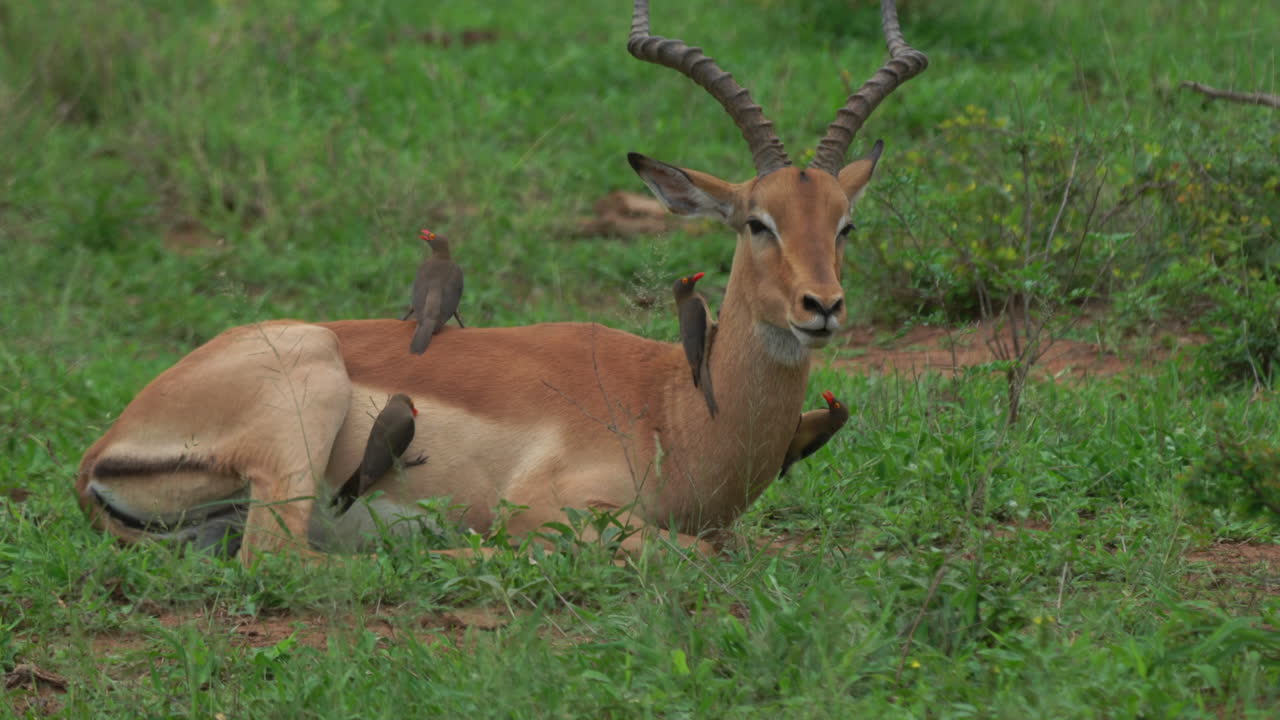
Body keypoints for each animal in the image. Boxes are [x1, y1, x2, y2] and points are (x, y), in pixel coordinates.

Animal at [74, 0, 927, 566]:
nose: (823, 307)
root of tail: (104, 449)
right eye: (756, 222)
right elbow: (686, 551)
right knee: (284, 558)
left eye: (844, 225)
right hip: (303, 403)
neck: (675, 410)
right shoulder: (565, 506)